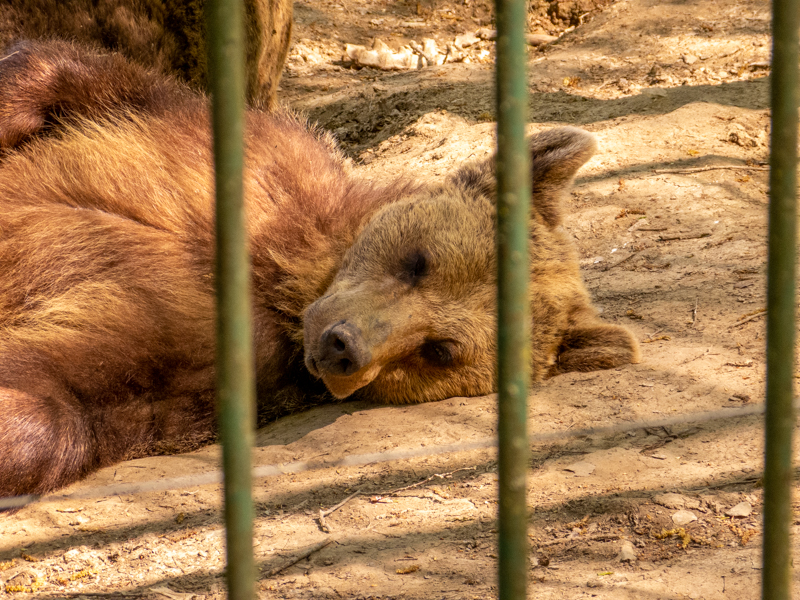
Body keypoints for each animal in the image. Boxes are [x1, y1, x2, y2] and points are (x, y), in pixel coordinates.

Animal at [0, 40, 639, 499]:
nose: (341, 346)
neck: (288, 275)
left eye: (439, 351)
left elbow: (74, 394)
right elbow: (84, 79)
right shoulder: (231, 162)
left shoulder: (192, 366)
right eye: (419, 262)